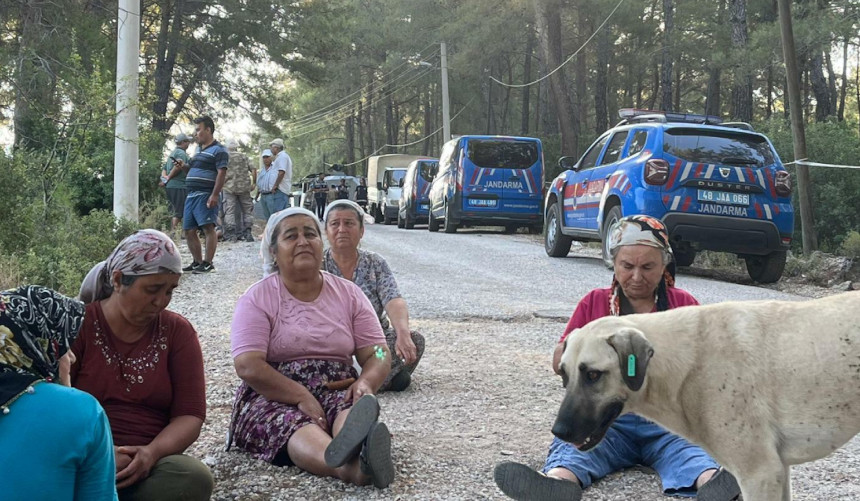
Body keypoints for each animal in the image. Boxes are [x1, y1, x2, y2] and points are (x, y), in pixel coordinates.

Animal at [552, 290, 860, 500]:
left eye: (593, 375)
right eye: (564, 374)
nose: (559, 431)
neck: (687, 362)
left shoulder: (760, 474)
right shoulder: (778, 471)